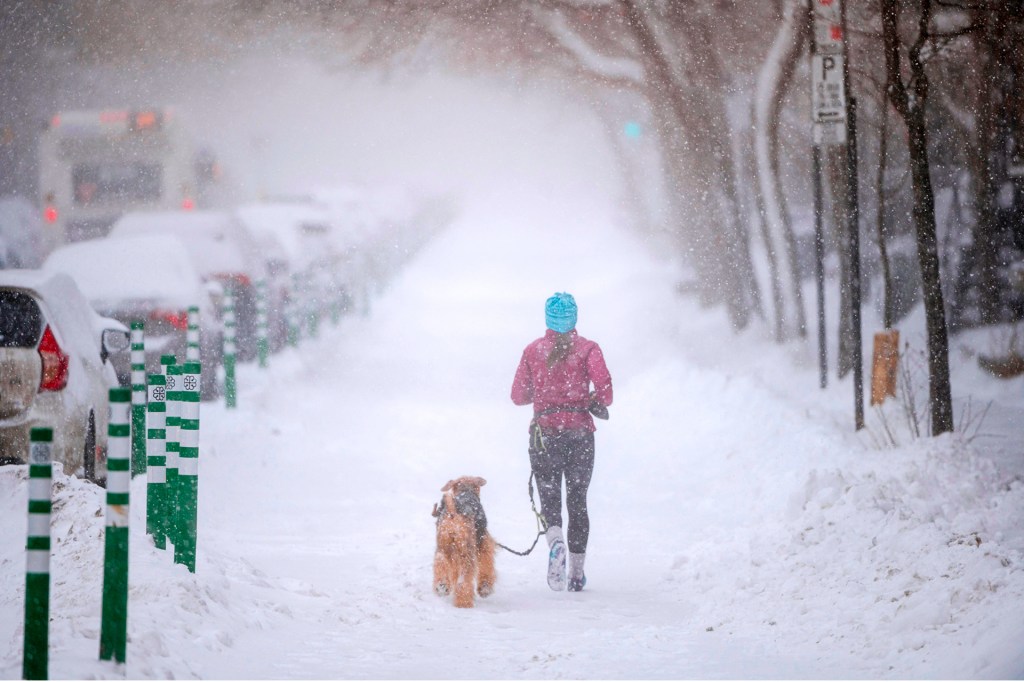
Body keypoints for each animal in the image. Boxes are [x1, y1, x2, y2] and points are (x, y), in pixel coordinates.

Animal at [432, 473, 495, 606]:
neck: (466, 491)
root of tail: (453, 512)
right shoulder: (483, 545)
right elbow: (486, 565)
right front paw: (485, 588)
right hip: (467, 551)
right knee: (464, 580)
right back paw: (464, 602)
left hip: (443, 548)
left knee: (440, 564)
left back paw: (442, 587)